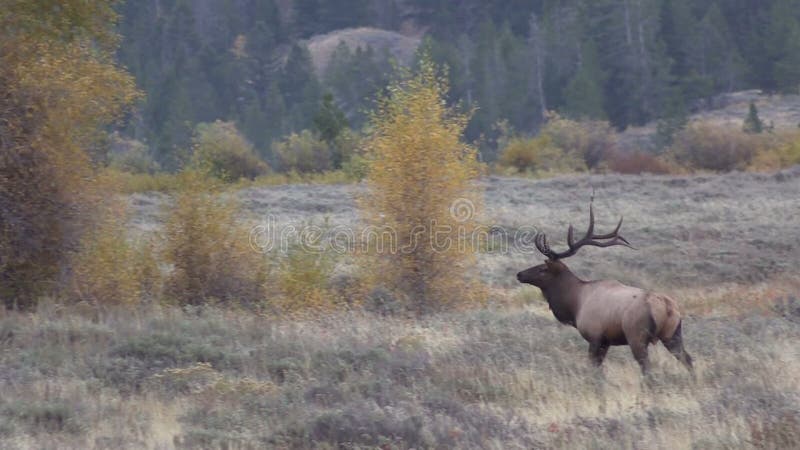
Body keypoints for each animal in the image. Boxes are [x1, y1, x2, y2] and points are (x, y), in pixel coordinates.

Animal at [520, 203, 692, 372]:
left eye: (542, 269)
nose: (519, 274)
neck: (575, 304)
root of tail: (666, 307)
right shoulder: (606, 341)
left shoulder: (595, 337)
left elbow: (593, 368)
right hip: (673, 335)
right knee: (688, 359)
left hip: (637, 336)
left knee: (647, 368)